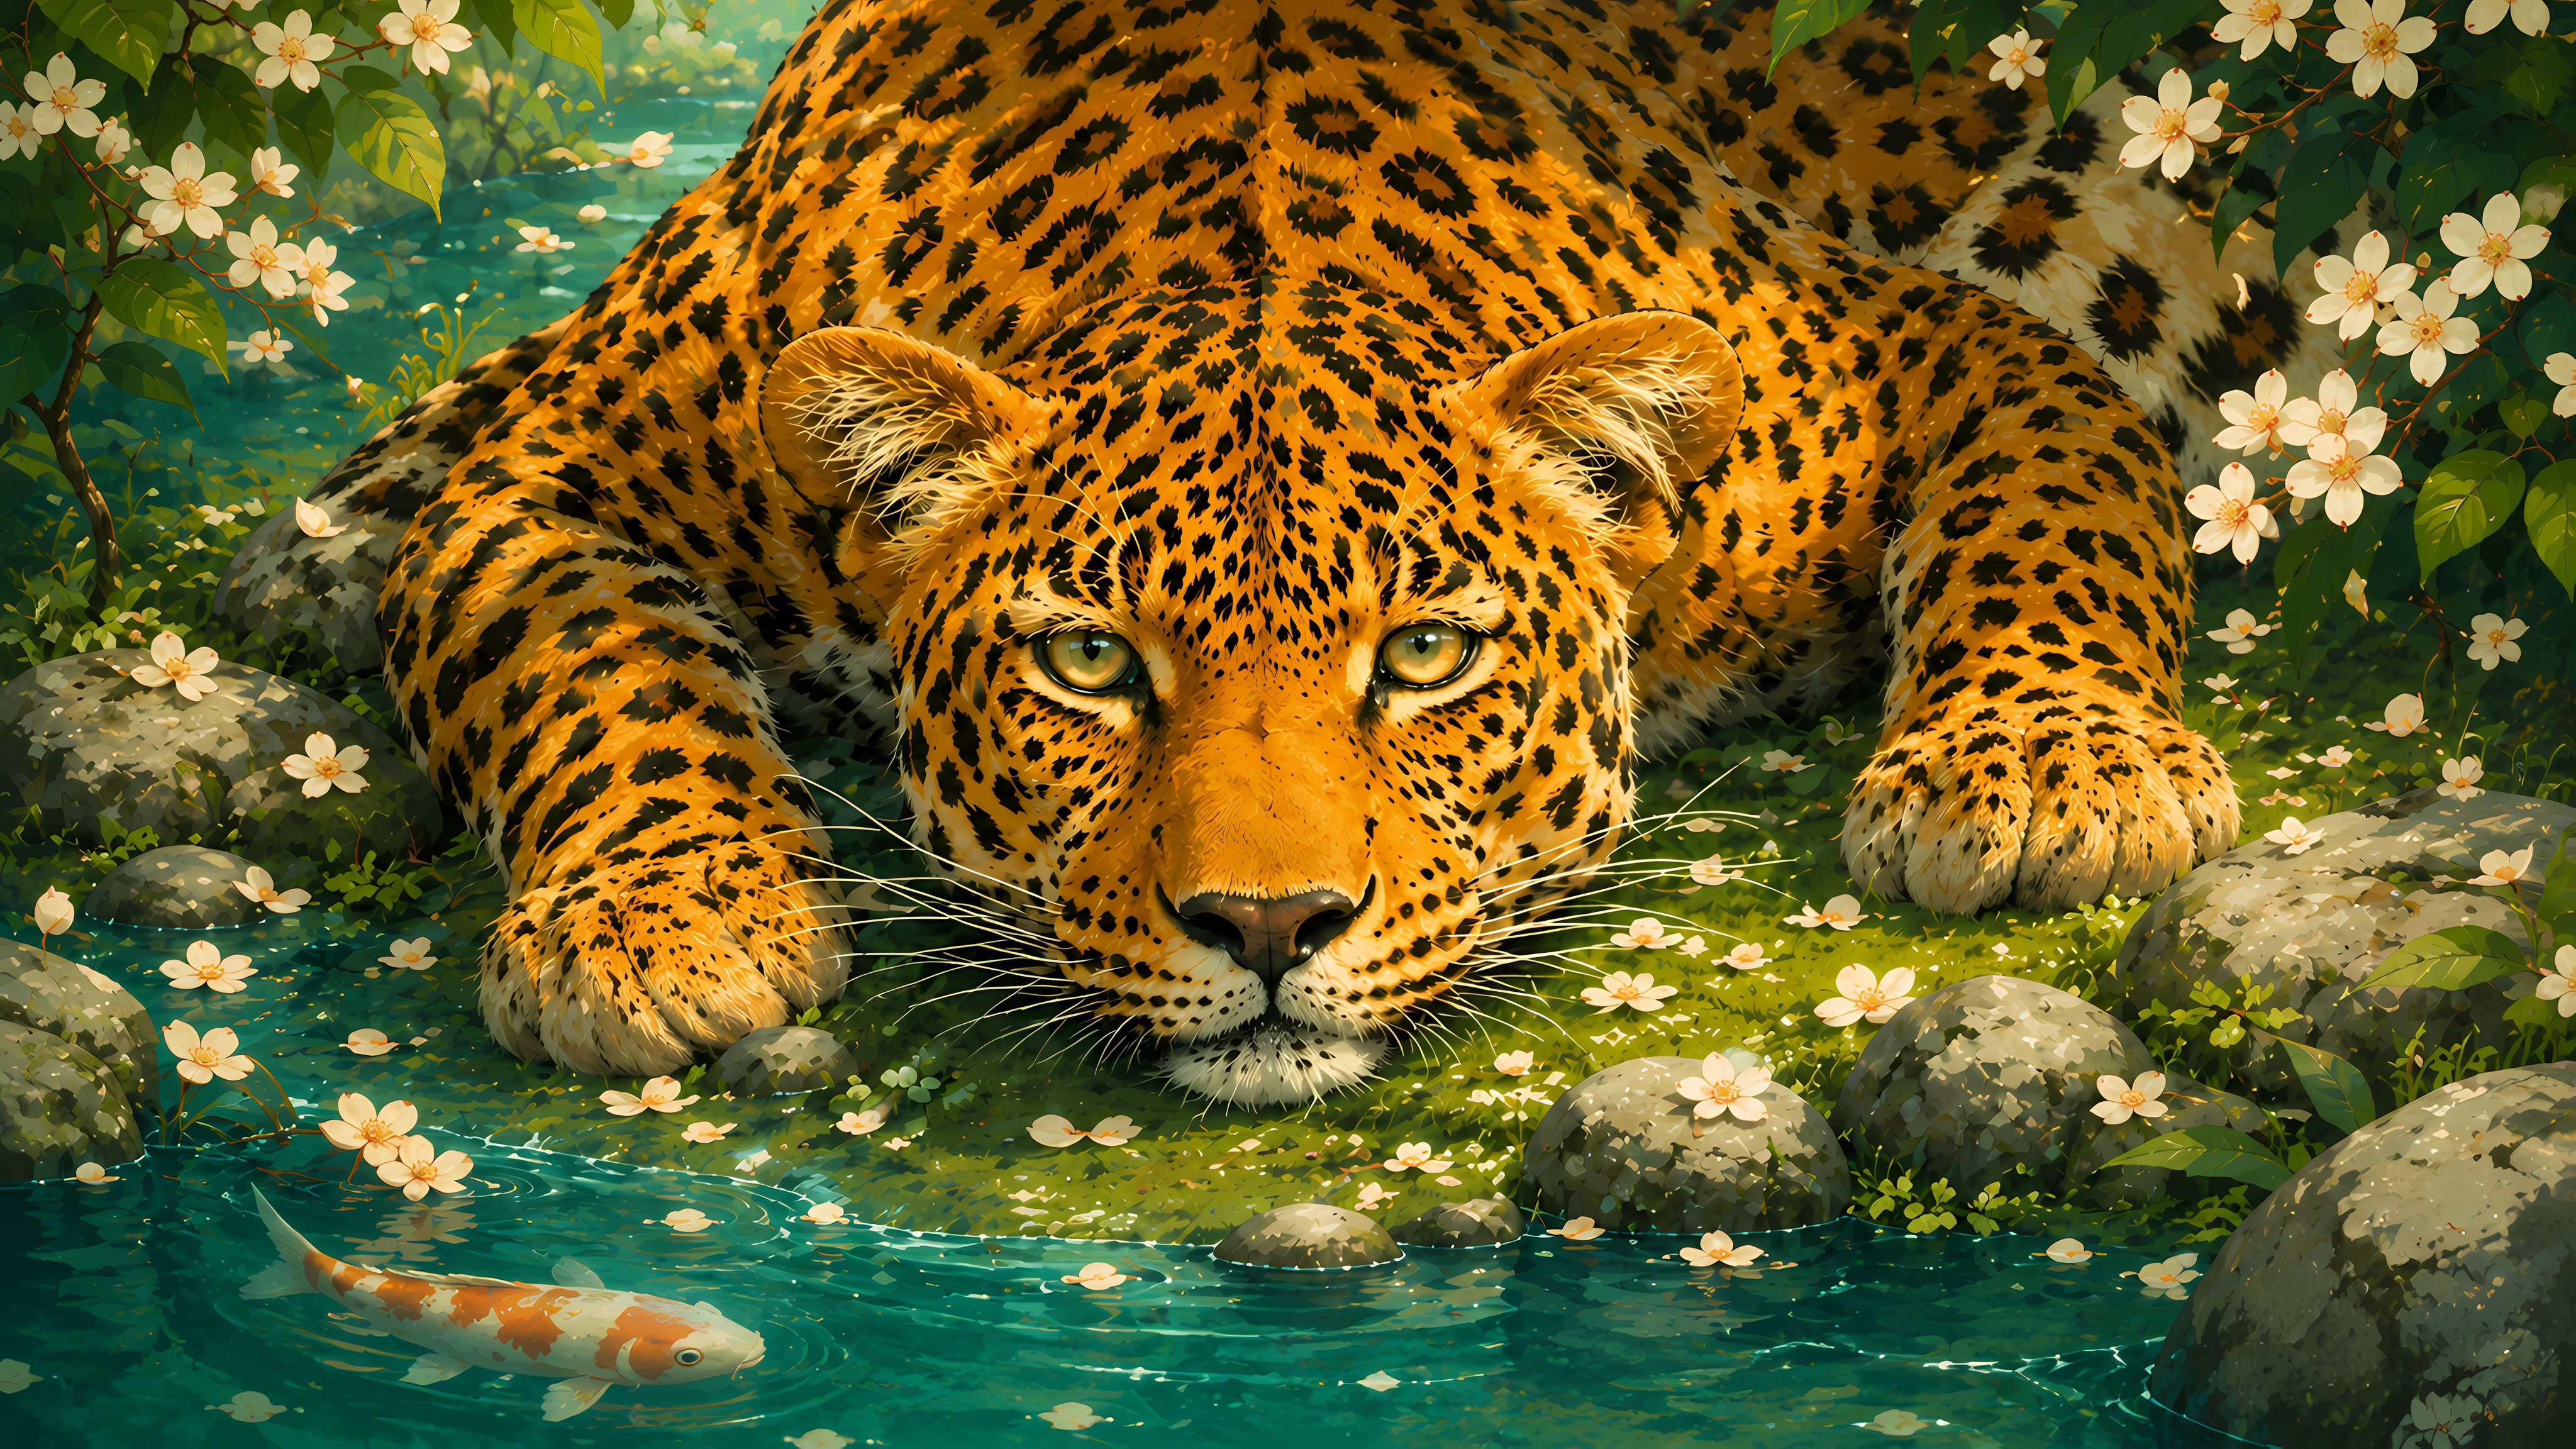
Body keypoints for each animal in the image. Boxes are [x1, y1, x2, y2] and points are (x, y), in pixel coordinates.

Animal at [297, 0, 2335, 1107]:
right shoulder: (566, 460)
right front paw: (658, 920)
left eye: (1425, 656)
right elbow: (590, 675)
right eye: (1089, 662)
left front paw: (2052, 774)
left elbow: (2049, 526)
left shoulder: (1924, 347)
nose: (1269, 929)